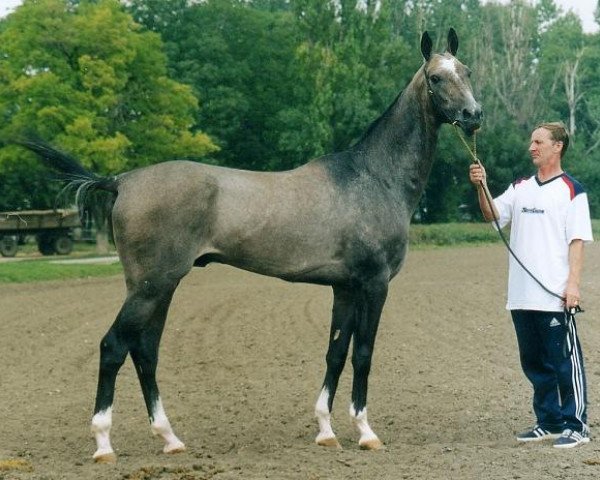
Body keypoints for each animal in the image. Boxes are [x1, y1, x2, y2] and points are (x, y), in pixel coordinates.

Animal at [19, 29, 482, 462]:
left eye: (467, 72)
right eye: (436, 77)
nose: (474, 115)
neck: (373, 176)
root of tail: (121, 181)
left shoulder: (345, 288)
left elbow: (335, 352)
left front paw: (326, 431)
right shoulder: (374, 284)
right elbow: (363, 353)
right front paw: (366, 432)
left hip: (160, 288)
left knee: (145, 351)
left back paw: (170, 439)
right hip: (150, 287)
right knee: (114, 347)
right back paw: (103, 444)